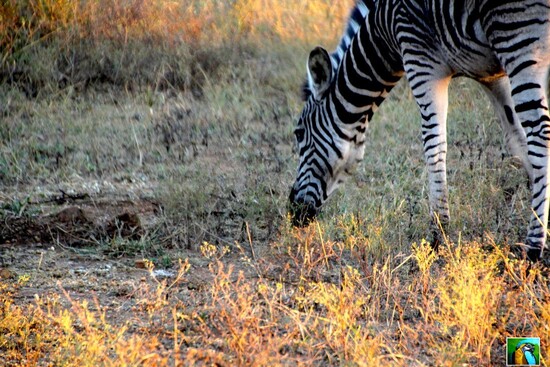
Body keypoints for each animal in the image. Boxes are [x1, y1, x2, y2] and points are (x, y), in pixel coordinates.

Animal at [288, 0, 550, 262]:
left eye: (299, 133)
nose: (292, 211)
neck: (383, 29)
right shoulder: (491, 76)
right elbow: (516, 139)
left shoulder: (421, 61)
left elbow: (434, 145)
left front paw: (438, 233)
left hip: (517, 41)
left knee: (540, 135)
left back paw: (533, 246)